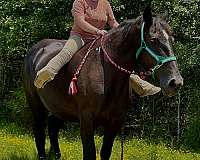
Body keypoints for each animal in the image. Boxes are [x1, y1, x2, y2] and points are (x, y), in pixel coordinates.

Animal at [23, 6, 183, 160]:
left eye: (172, 39)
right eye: (153, 39)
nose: (175, 82)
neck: (105, 73)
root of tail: (35, 51)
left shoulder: (115, 122)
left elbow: (106, 152)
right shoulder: (87, 120)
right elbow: (89, 154)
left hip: (60, 108)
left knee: (53, 128)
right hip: (36, 105)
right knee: (39, 132)